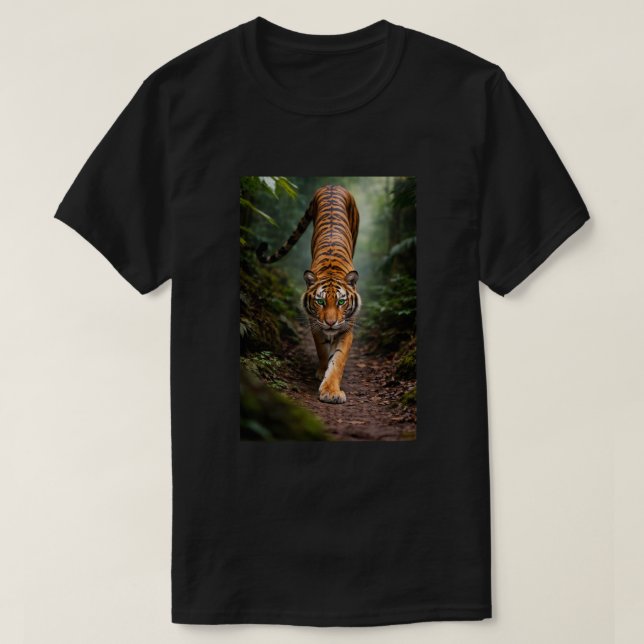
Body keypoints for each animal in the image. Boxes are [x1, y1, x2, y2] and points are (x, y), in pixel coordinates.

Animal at [257, 184, 360, 404]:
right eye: (320, 301)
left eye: (341, 302)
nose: (330, 323)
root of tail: (332, 185)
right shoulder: (315, 323)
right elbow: (322, 350)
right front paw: (322, 372)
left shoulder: (347, 327)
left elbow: (338, 359)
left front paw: (331, 390)